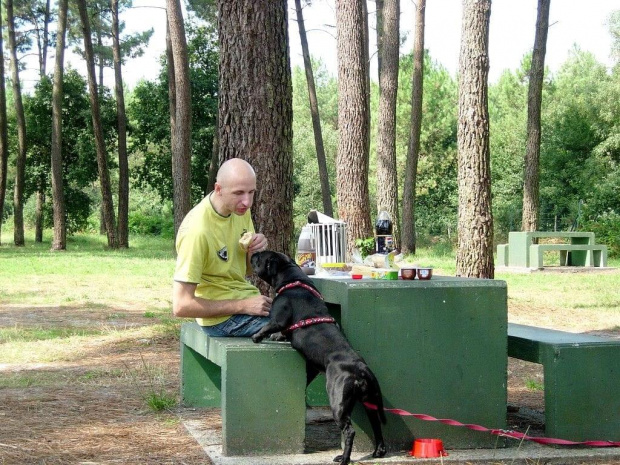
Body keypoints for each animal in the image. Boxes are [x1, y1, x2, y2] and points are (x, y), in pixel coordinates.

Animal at [249, 252, 386, 462]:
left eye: (260, 257)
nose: (253, 254)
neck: (293, 279)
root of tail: (361, 370)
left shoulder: (278, 318)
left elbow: (268, 326)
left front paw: (257, 336)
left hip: (338, 403)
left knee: (349, 431)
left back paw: (344, 458)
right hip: (370, 402)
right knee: (376, 425)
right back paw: (378, 451)